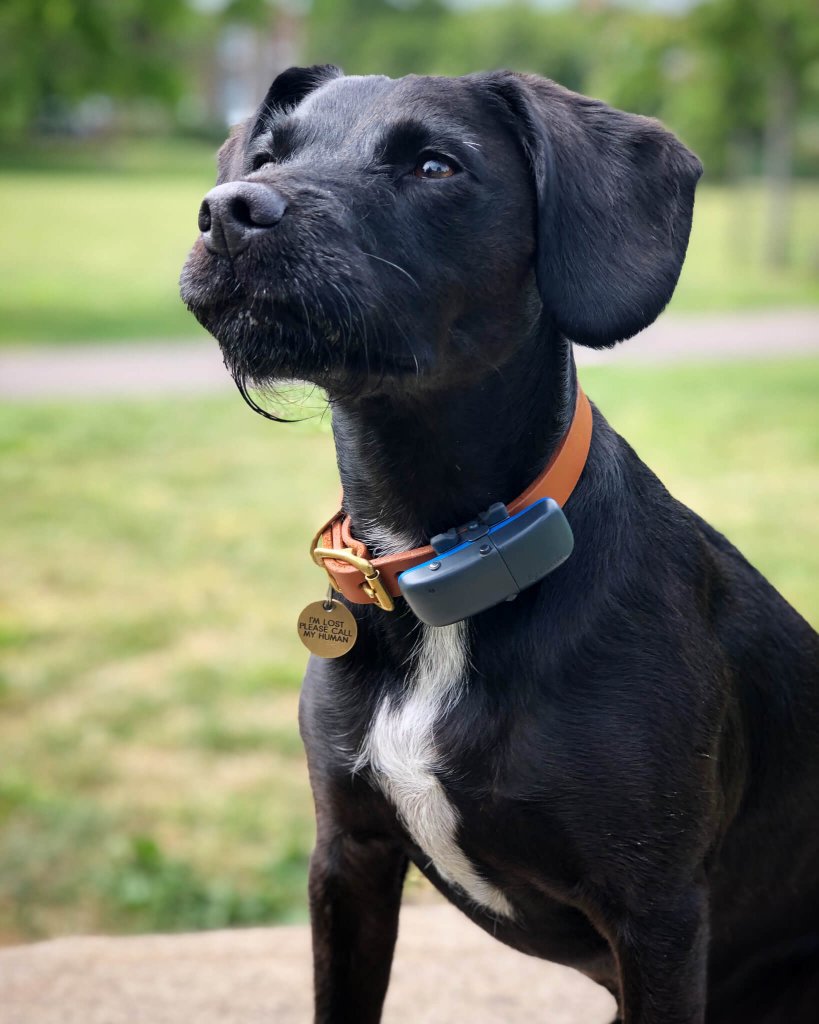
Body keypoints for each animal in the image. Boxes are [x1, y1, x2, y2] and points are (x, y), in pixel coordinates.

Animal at [181, 66, 818, 1024]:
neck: (440, 558)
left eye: (434, 165)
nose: (227, 209)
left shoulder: (658, 914)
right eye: (265, 154)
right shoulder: (349, 858)